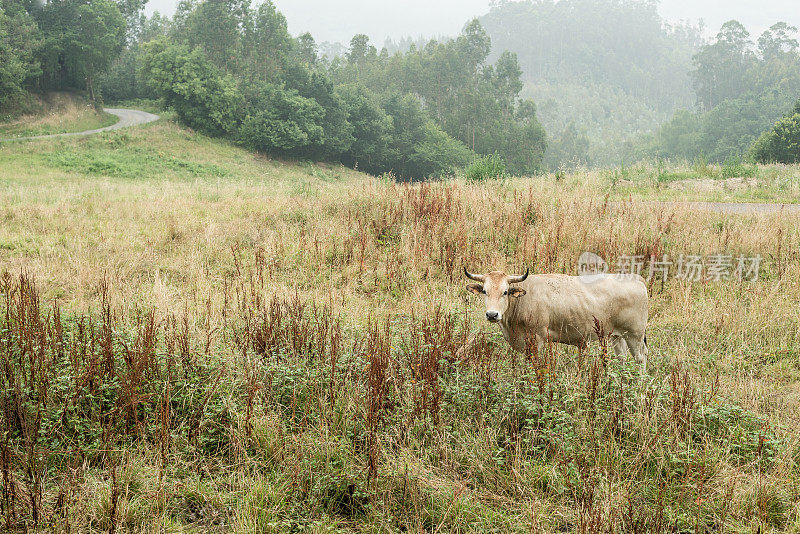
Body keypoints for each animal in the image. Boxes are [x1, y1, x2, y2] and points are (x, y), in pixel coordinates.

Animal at [462, 268, 648, 372]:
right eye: (484, 291)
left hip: (635, 335)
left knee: (640, 358)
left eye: (505, 292)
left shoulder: (537, 339)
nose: (492, 315)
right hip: (617, 335)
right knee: (622, 357)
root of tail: (636, 278)